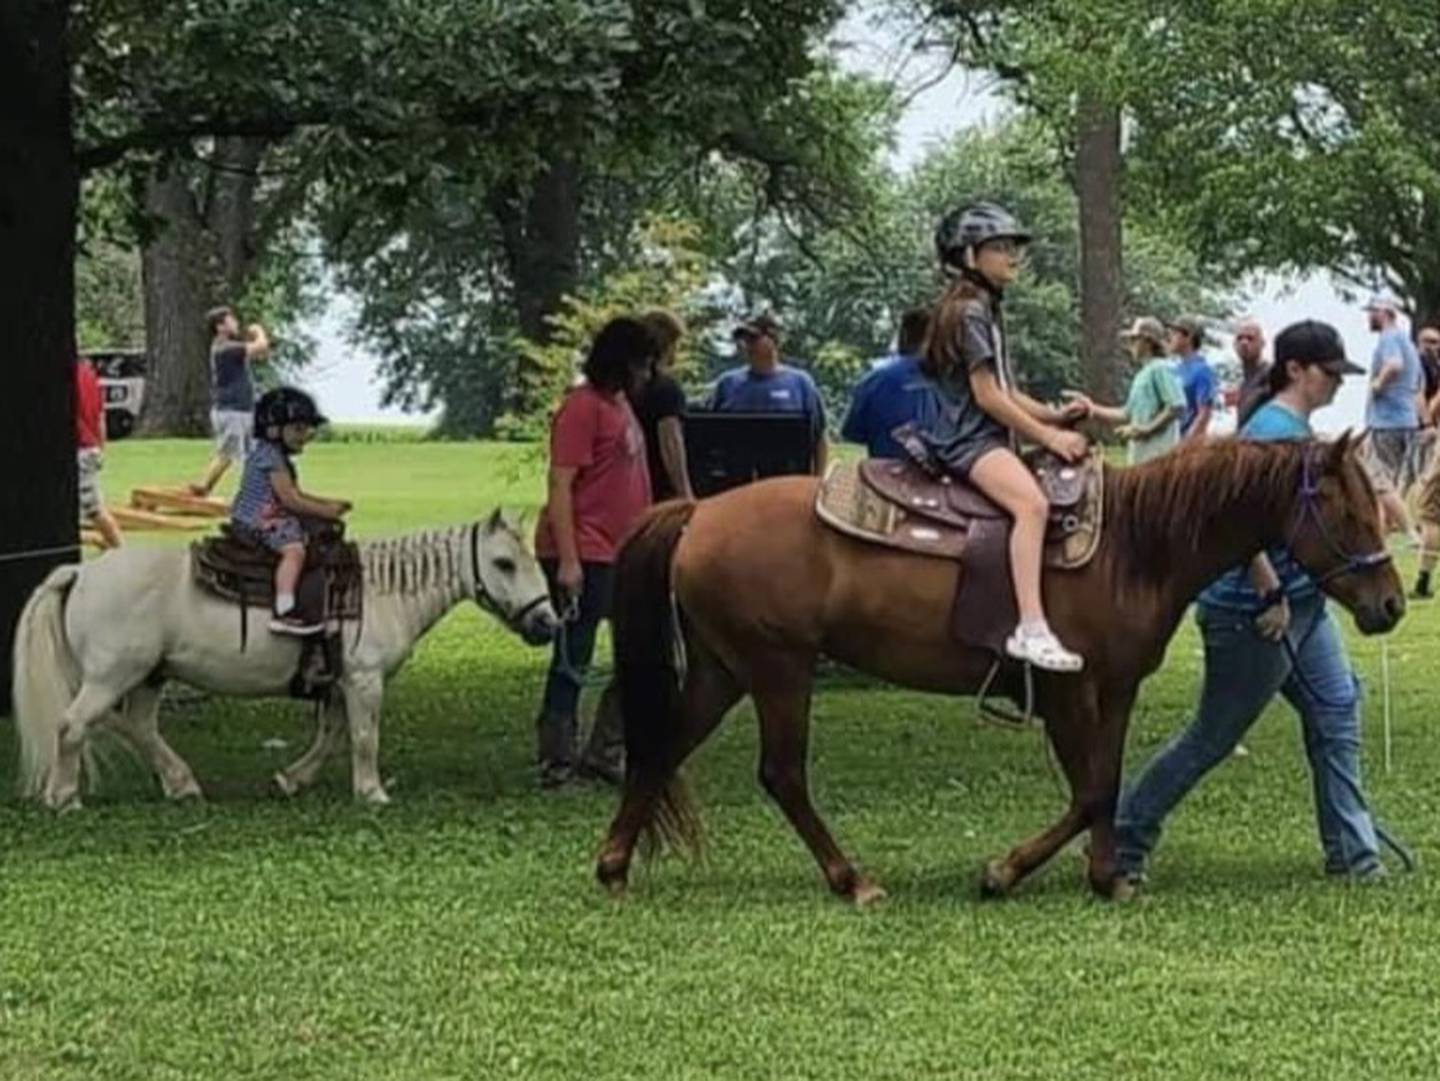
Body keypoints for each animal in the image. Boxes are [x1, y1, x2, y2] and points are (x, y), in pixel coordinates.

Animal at [14, 512, 558, 806]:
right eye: (504, 563)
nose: (548, 624)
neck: (380, 591)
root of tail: (81, 573)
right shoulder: (364, 680)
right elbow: (364, 738)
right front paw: (372, 793)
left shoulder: (338, 684)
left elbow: (332, 737)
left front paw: (290, 780)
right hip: (111, 677)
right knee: (72, 725)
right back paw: (64, 797)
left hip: (149, 676)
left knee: (142, 728)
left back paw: (182, 785)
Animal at [593, 440, 1393, 903]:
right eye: (1351, 513)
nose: (1387, 604)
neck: (1134, 544)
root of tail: (698, 511)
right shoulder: (1069, 691)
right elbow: (1089, 790)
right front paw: (1006, 871)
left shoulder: (1116, 688)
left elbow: (1105, 786)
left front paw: (1106, 877)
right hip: (778, 668)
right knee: (781, 773)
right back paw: (852, 880)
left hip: (722, 670)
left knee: (662, 748)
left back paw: (613, 864)